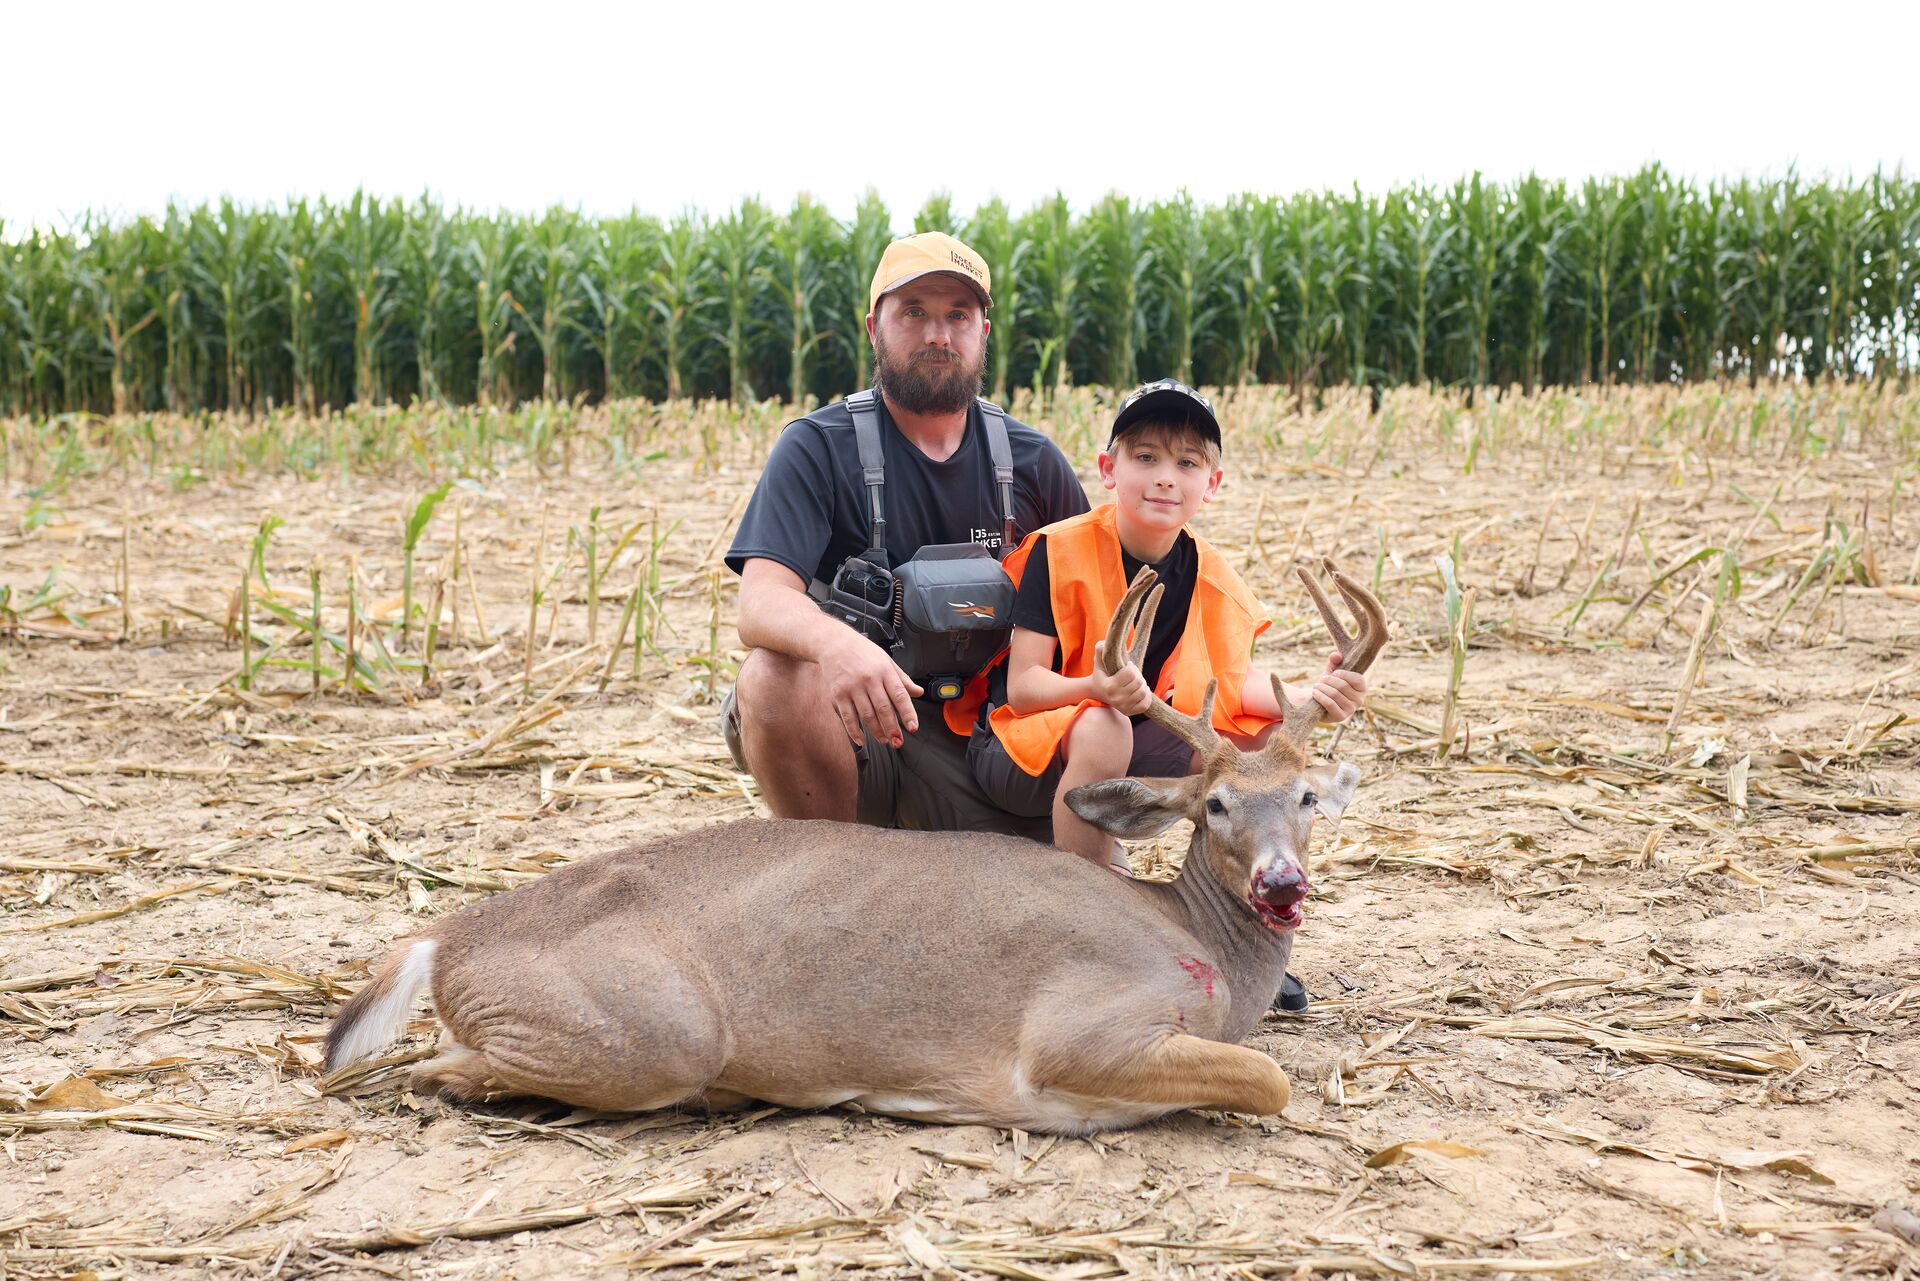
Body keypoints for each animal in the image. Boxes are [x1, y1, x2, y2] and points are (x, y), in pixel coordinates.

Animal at [324, 560, 1387, 1136]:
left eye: (1306, 797)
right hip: (652, 1030)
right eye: (1215, 805)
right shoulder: (1084, 1026)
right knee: (430, 1070)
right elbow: (1268, 1078)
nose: (1282, 881)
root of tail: (443, 939)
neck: (1200, 951)